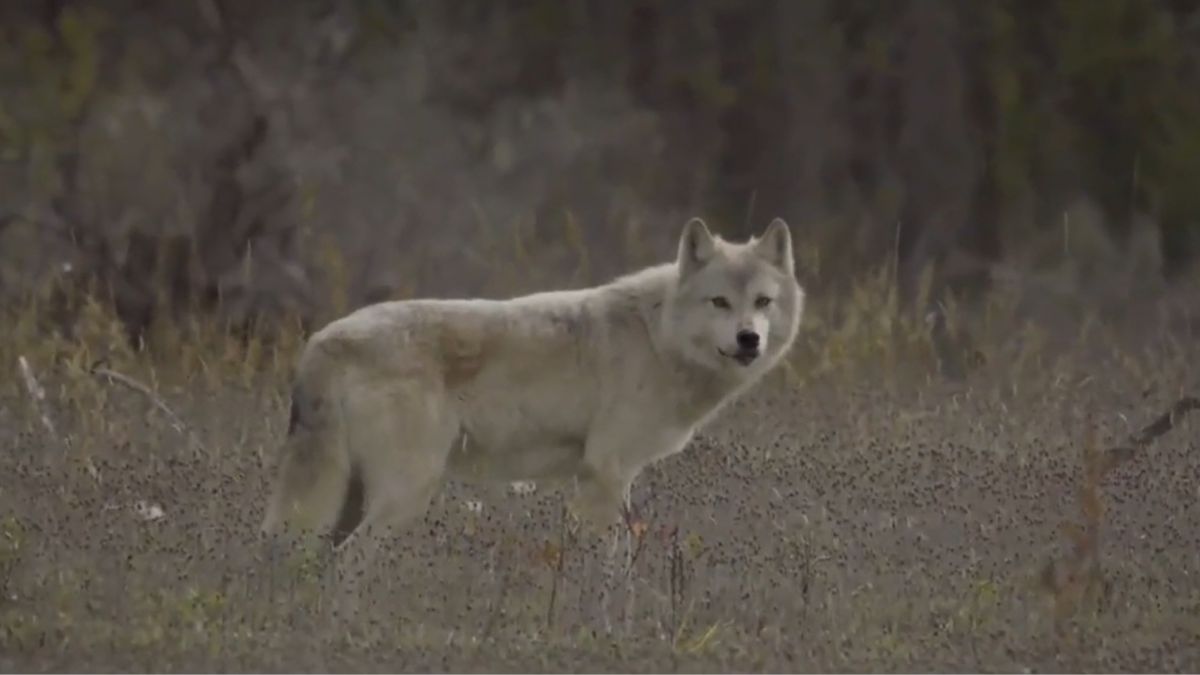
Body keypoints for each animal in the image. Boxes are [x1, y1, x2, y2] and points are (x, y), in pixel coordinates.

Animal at [260, 217, 805, 614]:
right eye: (720, 302)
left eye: (762, 302)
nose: (749, 339)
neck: (657, 338)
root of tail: (322, 342)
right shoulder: (605, 474)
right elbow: (616, 566)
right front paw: (612, 621)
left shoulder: (607, 479)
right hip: (403, 495)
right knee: (346, 565)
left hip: (352, 500)